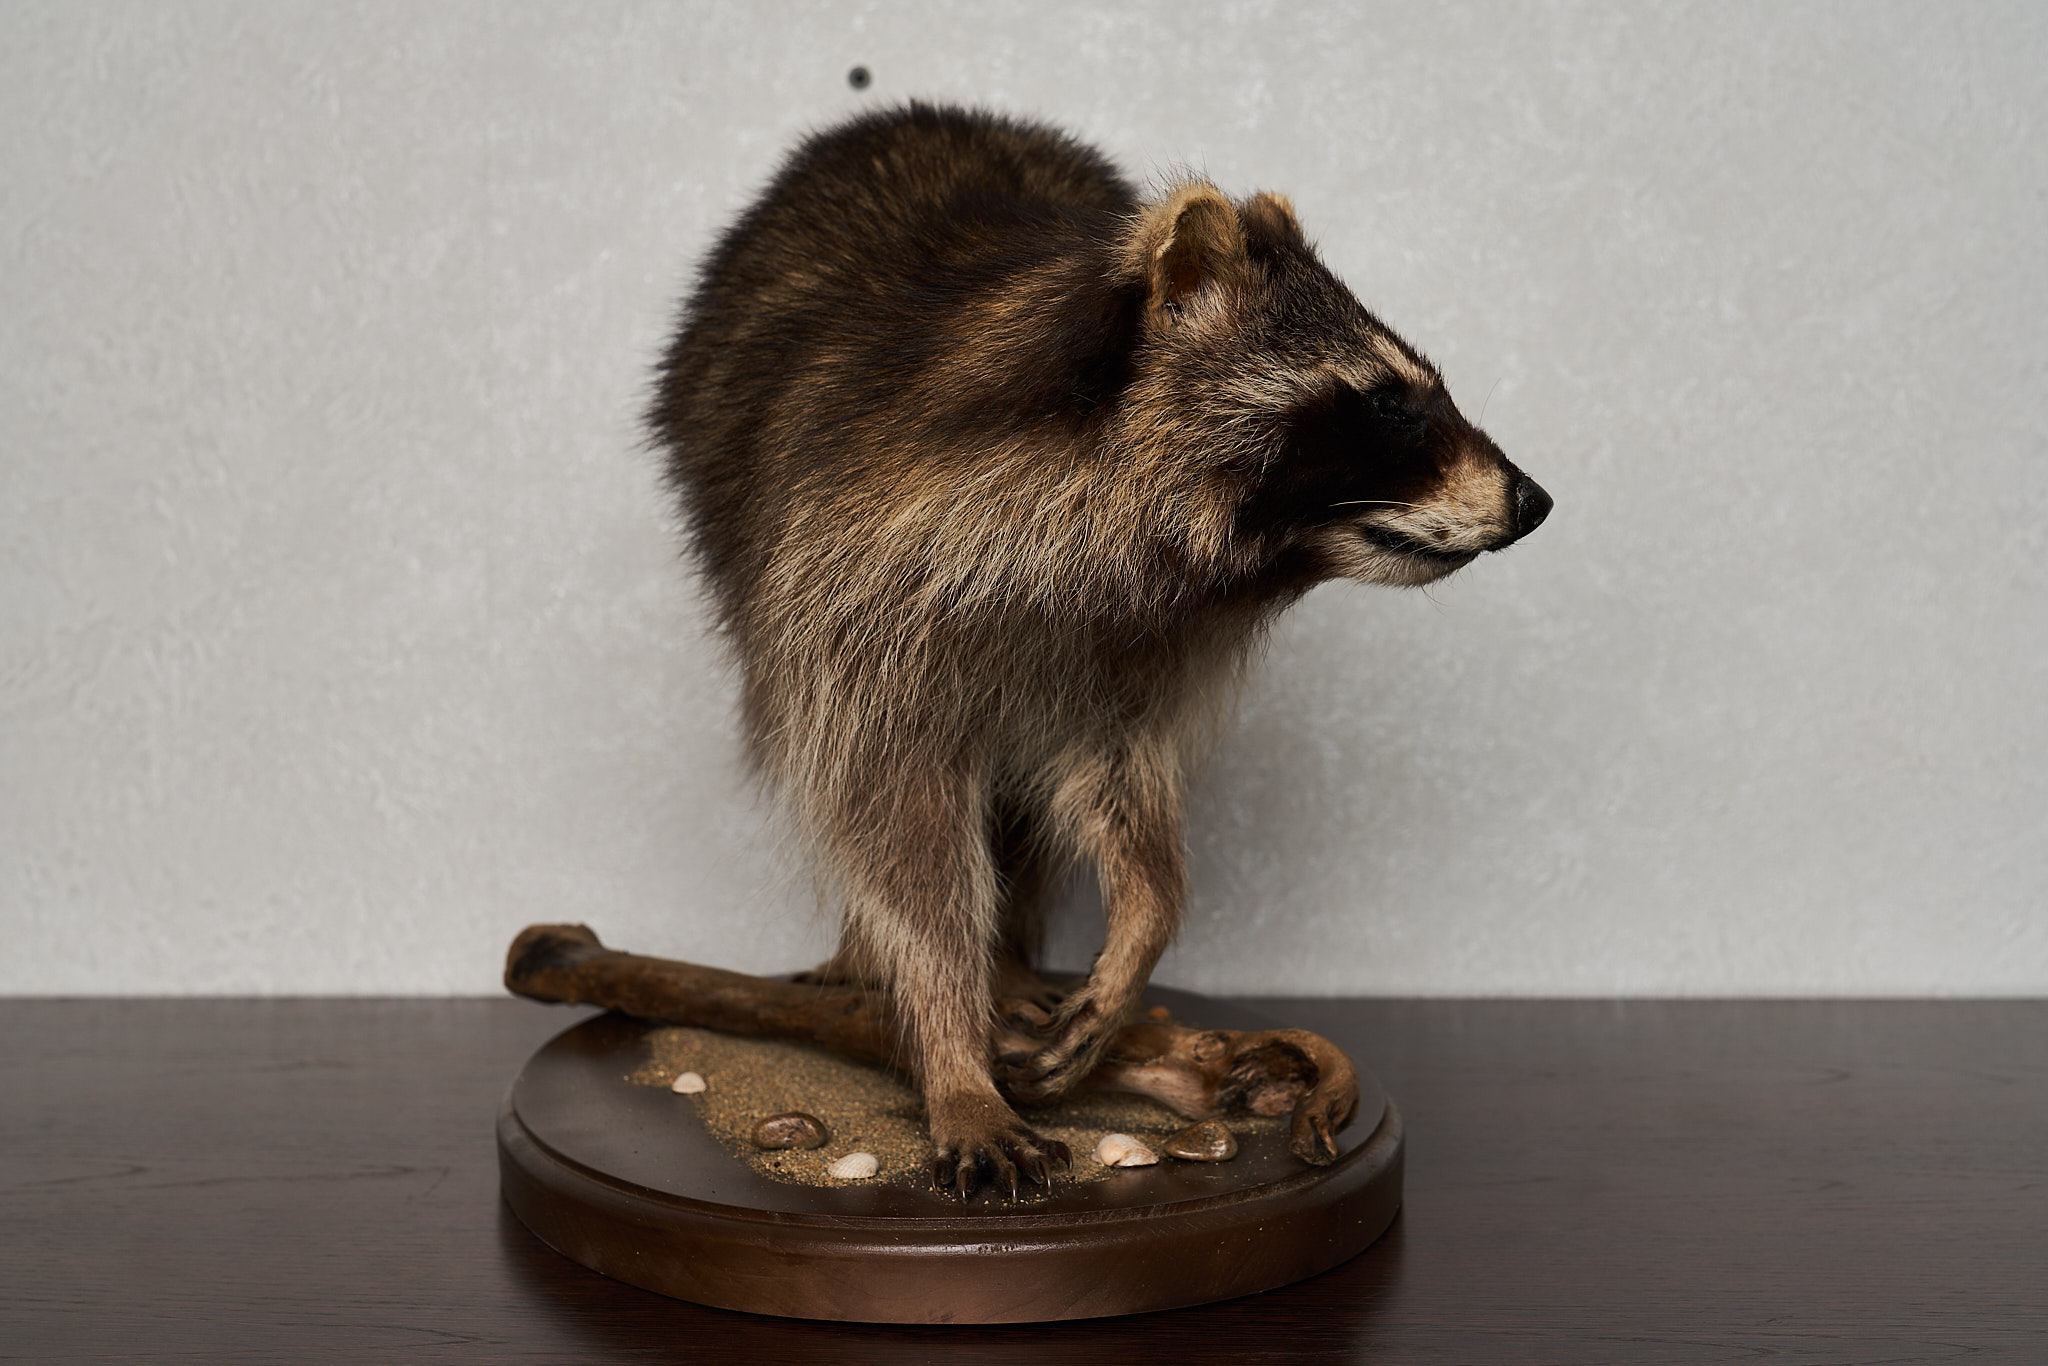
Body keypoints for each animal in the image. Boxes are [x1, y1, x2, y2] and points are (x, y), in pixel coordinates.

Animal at [650, 103, 1549, 1199]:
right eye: (1385, 402)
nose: (1533, 501)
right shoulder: (848, 592)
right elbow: (895, 828)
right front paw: (946, 1035)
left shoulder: (1124, 646)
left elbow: (1115, 778)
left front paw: (1143, 923)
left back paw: (1015, 960)